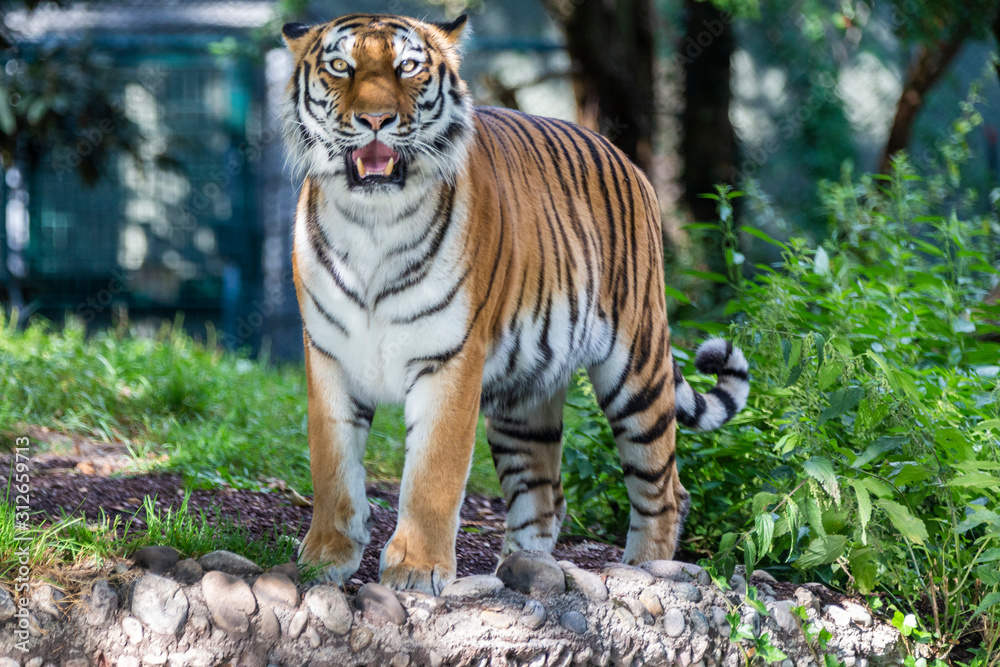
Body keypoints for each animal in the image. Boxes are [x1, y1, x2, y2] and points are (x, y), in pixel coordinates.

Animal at [280, 13, 749, 594]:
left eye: (407, 66)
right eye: (340, 66)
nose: (375, 119)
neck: (374, 223)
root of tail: (627, 159)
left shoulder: (451, 359)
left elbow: (433, 475)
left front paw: (415, 571)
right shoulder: (329, 356)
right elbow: (332, 467)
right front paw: (323, 559)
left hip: (637, 373)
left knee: (663, 489)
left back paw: (648, 571)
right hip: (524, 398)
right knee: (547, 495)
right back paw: (524, 570)